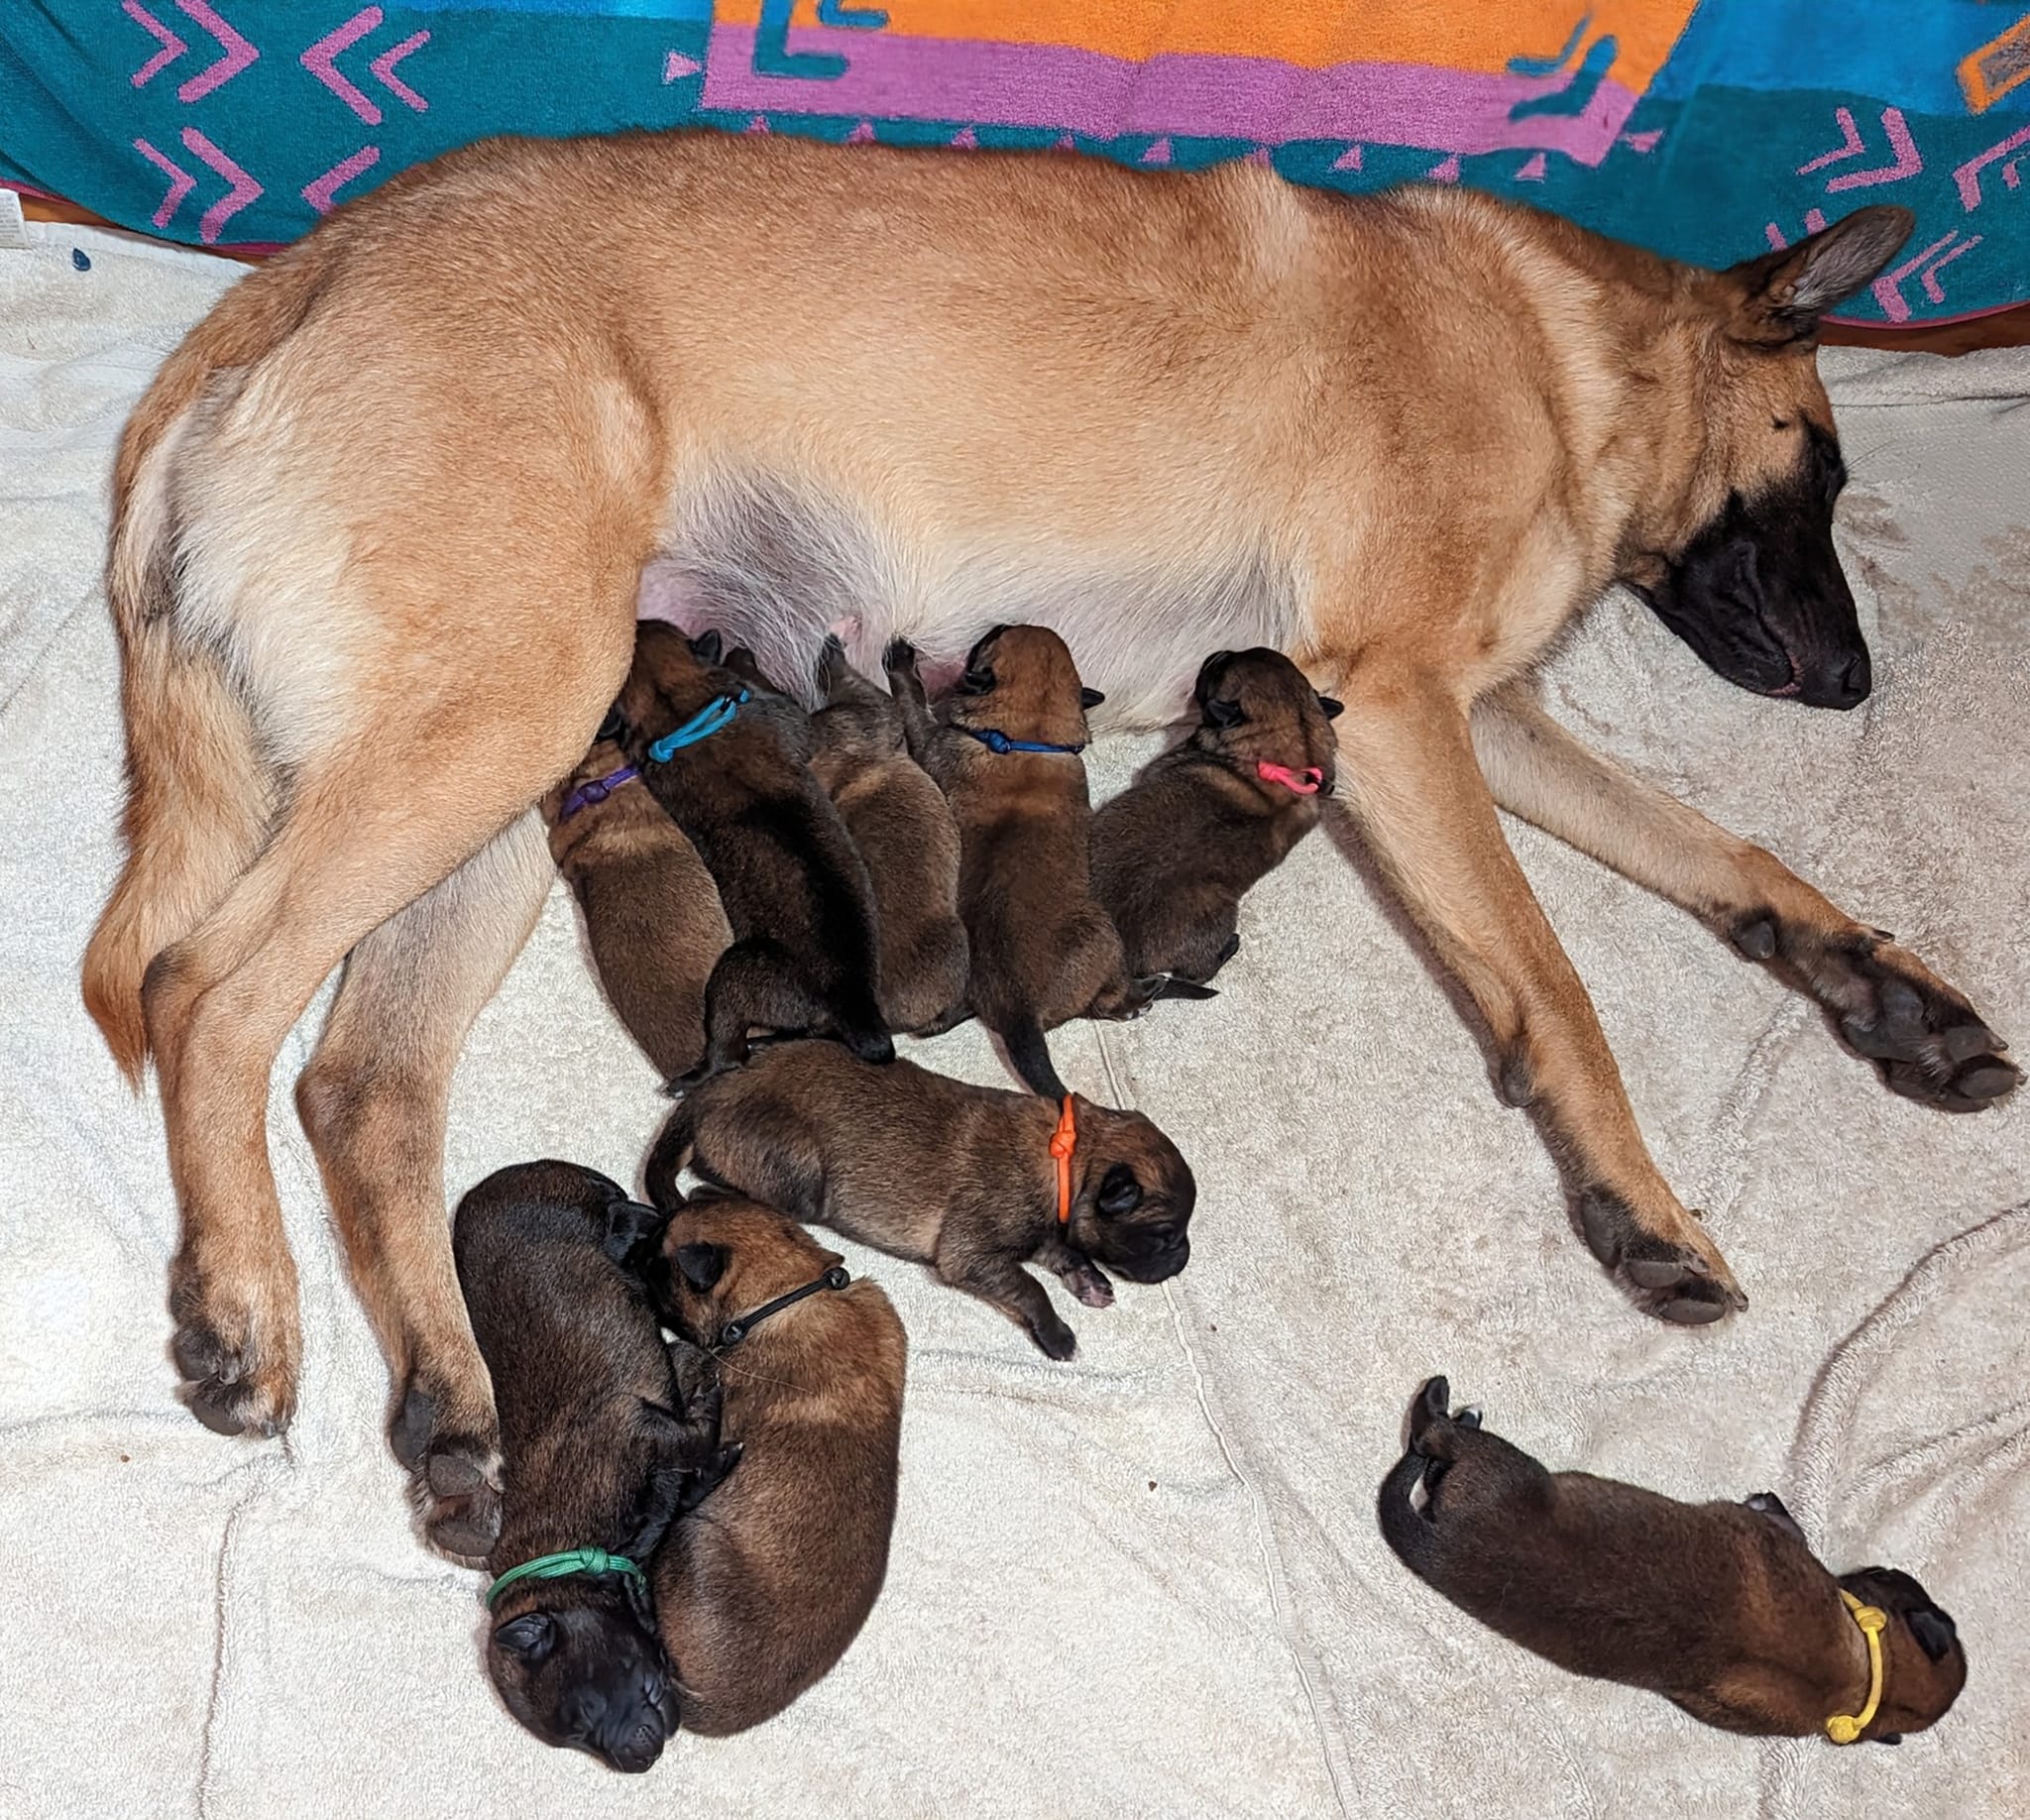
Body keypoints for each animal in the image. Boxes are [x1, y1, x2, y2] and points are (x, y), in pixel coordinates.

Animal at [452, 1159, 739, 1770]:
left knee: (640, 1218)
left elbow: (691, 1437)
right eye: (580, 1736)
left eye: (584, 1712)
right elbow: (684, 1480)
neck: (565, 1551)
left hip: (597, 1219)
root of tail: (521, 1171)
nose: (638, 1761)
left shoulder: (635, 1428)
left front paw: (711, 1408)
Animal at [612, 621, 893, 1083]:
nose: (638, 620)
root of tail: (848, 1000)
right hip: (736, 976)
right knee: (730, 1049)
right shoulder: (790, 720)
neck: (682, 708)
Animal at [644, 1039, 1193, 1359]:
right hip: (800, 1172)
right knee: (706, 1187)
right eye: (1166, 1234)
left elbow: (1062, 1253)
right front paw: (1057, 1334)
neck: (1068, 1156)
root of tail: (711, 1094)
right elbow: (1031, 1287)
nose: (1184, 1260)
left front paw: (1089, 1281)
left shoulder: (1033, 1235)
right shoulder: (972, 1254)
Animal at [1378, 1376, 1967, 1741]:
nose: (1890, 1569)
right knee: (1431, 1447)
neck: (1867, 1679)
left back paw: (1449, 1408)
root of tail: (1445, 1545)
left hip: (1505, 1467)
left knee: (1433, 1441)